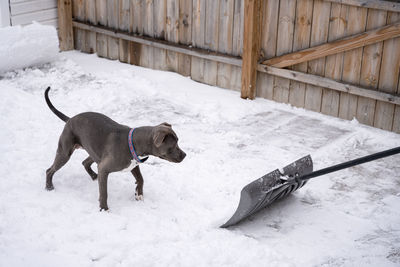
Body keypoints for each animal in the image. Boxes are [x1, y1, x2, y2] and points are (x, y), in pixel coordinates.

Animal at [44, 88, 188, 211]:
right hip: (64, 153)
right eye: (173, 145)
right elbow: (104, 192)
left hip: (94, 152)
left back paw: (93, 176)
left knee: (85, 162)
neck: (133, 142)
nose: (185, 155)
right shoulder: (104, 168)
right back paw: (49, 187)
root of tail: (70, 119)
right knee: (49, 170)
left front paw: (139, 194)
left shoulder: (133, 165)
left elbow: (141, 179)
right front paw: (104, 209)